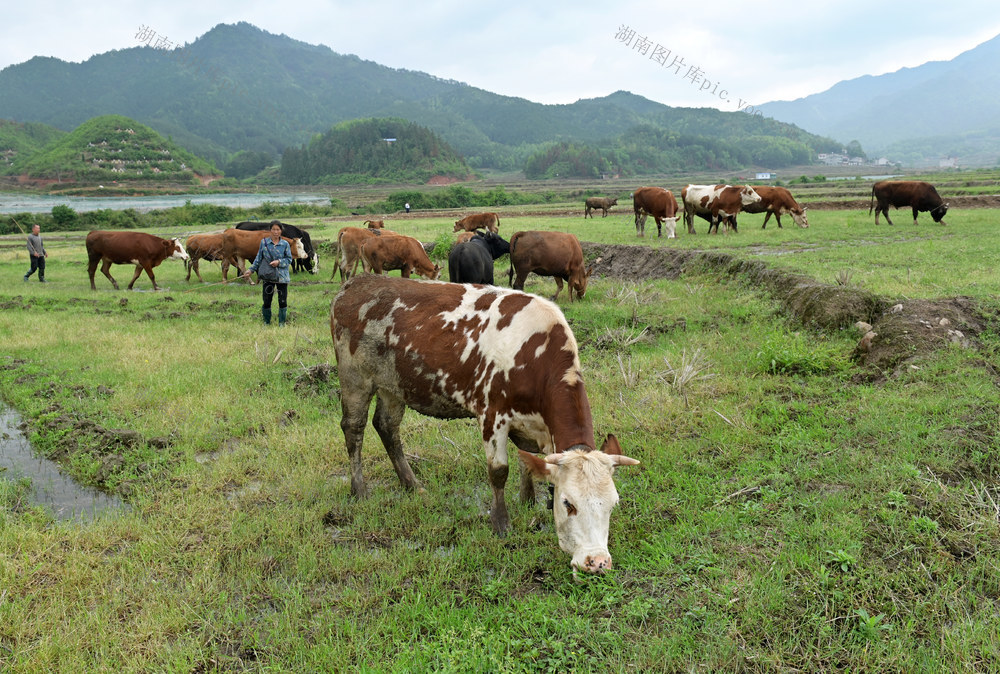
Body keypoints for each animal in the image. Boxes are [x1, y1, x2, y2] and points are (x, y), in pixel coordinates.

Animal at [328, 274, 640, 572]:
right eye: (568, 504)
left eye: (613, 504)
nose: (597, 562)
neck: (533, 354)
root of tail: (357, 282)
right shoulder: (493, 415)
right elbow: (499, 471)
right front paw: (500, 522)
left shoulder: (541, 428)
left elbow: (528, 461)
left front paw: (528, 501)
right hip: (355, 378)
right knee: (354, 429)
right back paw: (359, 489)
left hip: (394, 386)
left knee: (387, 427)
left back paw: (412, 484)